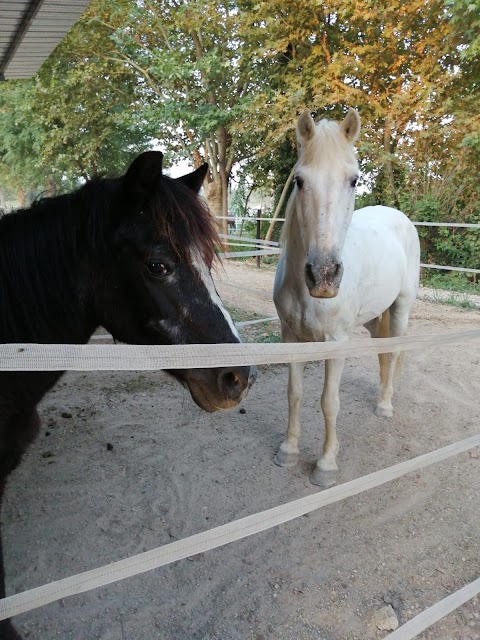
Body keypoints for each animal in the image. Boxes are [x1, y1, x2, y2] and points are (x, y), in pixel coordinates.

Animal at [274, 110, 420, 488]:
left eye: (354, 180)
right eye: (299, 181)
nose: (324, 275)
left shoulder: (336, 344)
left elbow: (329, 402)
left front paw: (326, 465)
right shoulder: (290, 339)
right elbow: (293, 394)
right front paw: (289, 451)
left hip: (401, 308)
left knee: (393, 352)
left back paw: (385, 406)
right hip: (373, 319)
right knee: (383, 355)